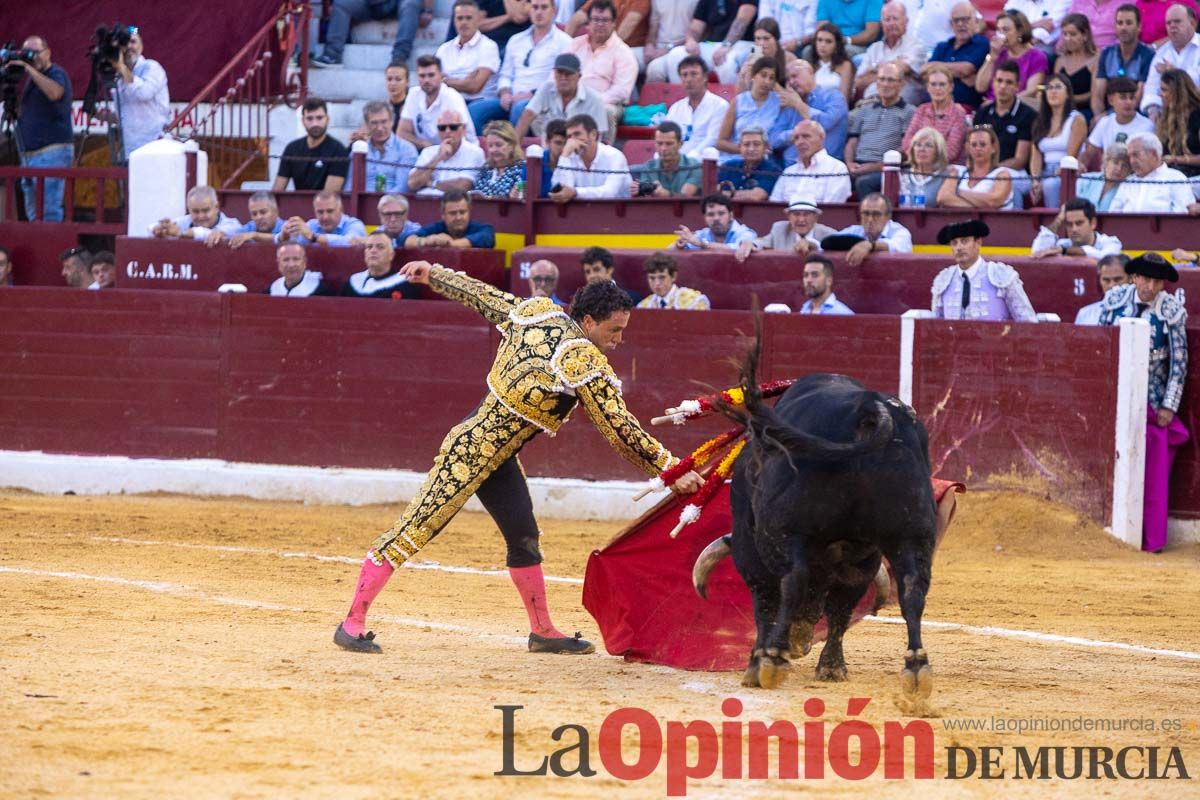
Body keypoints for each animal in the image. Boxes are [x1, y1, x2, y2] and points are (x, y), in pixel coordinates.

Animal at [700, 352, 940, 695]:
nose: (800, 642)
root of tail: (869, 410)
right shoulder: (863, 560)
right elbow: (840, 607)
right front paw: (831, 667)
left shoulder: (751, 549)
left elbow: (766, 602)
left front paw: (758, 662)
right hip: (911, 534)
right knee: (912, 587)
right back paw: (917, 667)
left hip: (787, 532)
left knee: (792, 580)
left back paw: (773, 659)